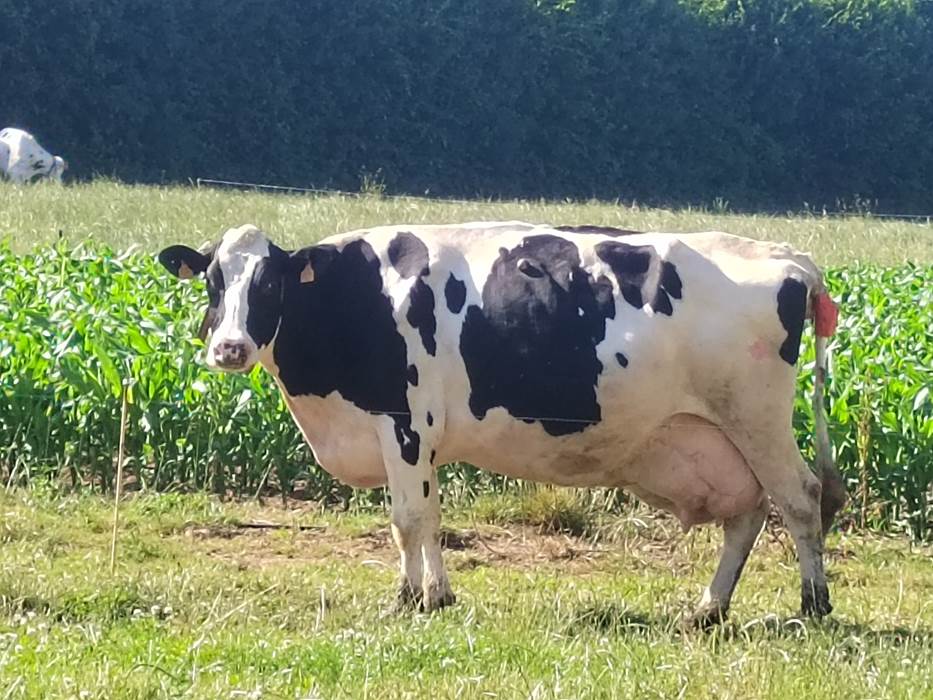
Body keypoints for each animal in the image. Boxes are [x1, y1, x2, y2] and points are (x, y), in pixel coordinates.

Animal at [158, 221, 846, 625]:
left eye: (269, 282)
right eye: (213, 281)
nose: (229, 348)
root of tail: (790, 258)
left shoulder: (406, 421)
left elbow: (410, 519)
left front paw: (418, 600)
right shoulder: (408, 437)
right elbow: (419, 520)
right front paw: (426, 593)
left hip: (756, 418)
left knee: (801, 498)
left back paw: (812, 606)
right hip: (719, 436)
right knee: (748, 513)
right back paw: (708, 608)